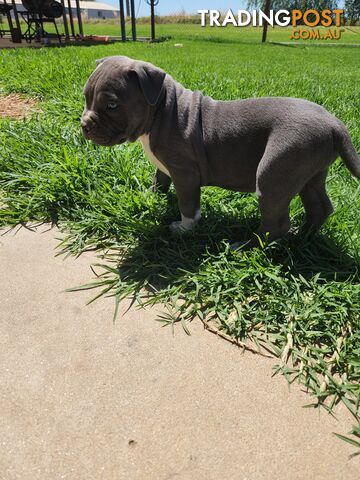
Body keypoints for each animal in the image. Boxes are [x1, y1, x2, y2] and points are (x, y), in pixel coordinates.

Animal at [82, 56, 360, 248]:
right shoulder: (166, 167)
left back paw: (245, 247)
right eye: (85, 97)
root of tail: (335, 124)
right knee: (320, 207)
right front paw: (150, 197)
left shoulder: (184, 173)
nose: (84, 125)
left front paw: (184, 228)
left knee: (276, 224)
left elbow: (187, 204)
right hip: (309, 173)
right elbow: (159, 179)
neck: (161, 109)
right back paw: (304, 236)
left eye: (112, 105)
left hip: (275, 173)